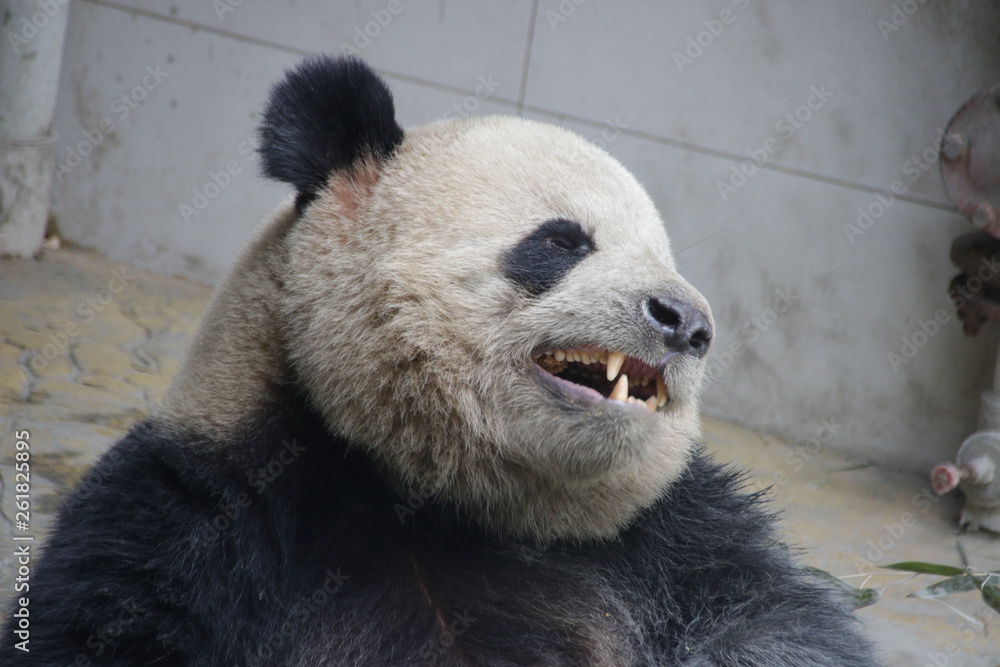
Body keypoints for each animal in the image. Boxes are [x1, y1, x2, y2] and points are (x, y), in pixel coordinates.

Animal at [4, 56, 875, 666]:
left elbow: (772, 617)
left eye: (662, 258)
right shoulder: (190, 518)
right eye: (563, 240)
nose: (687, 321)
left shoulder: (674, 536)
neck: (434, 496)